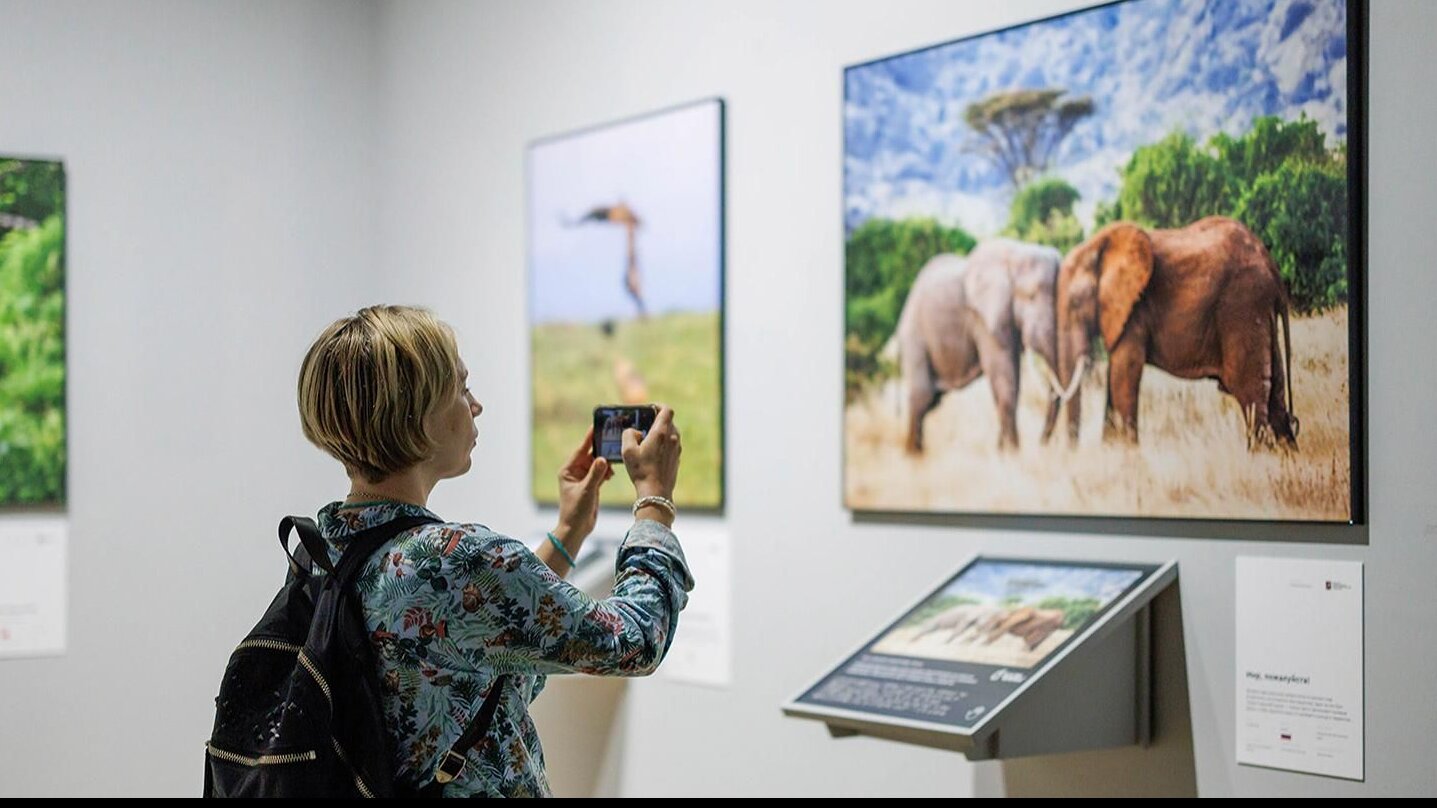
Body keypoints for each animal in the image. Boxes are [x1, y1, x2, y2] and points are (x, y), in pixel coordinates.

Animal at [897, 239, 1069, 453]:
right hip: (914, 338)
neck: (1015, 253)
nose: (1042, 444)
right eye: (1030, 296)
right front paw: (1013, 454)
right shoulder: (982, 318)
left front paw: (1002, 452)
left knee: (931, 401)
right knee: (922, 397)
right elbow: (1003, 375)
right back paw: (914, 457)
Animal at [1055, 216, 1297, 447]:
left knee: (1249, 393)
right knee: (1276, 396)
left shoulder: (1134, 309)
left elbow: (1123, 373)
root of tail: (1271, 265)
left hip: (1242, 306)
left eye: (1075, 303)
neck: (1096, 247)